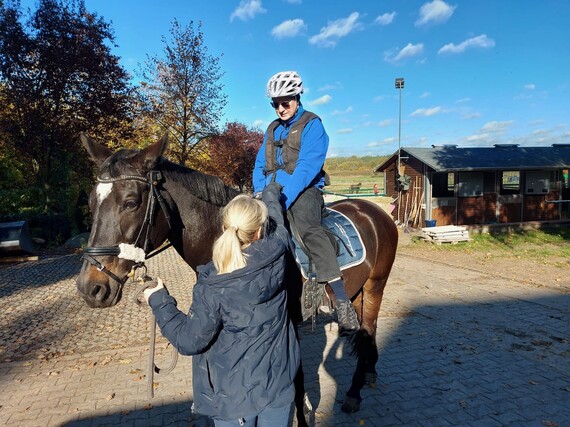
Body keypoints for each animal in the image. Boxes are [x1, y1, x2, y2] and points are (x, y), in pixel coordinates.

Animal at [74, 135, 394, 422]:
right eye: (91, 202)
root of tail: (374, 211)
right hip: (357, 291)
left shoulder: (287, 319)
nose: (91, 287)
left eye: (130, 202)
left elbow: (297, 378)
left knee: (368, 329)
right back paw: (369, 371)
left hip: (375, 286)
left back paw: (354, 393)